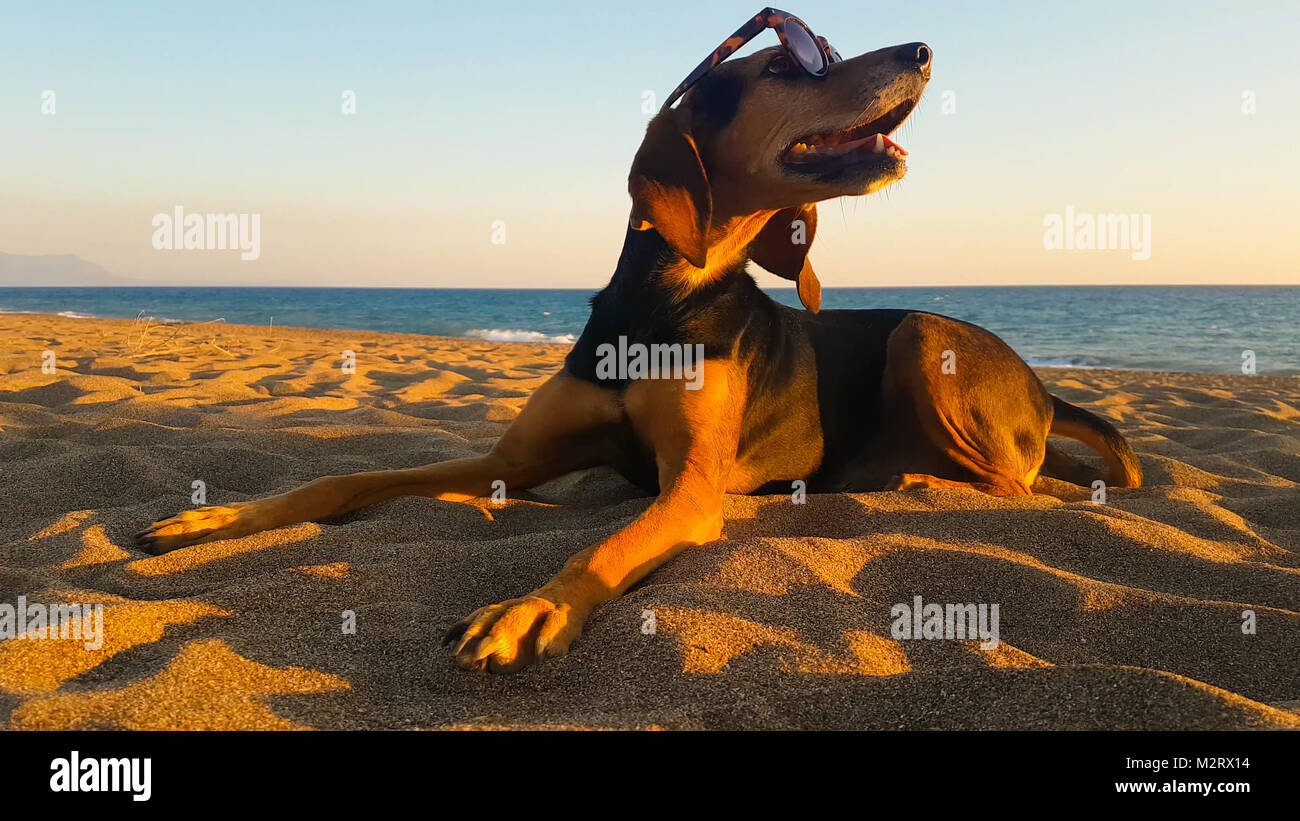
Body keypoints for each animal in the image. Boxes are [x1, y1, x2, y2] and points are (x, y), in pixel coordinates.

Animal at [137, 38, 1144, 670]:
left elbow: (608, 543)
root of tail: (1043, 388)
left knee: (1018, 479)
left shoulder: (690, 489)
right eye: (787, 63)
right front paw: (215, 518)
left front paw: (531, 607)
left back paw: (910, 479)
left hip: (921, 337)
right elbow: (344, 480)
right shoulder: (508, 461)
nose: (923, 51)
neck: (661, 301)